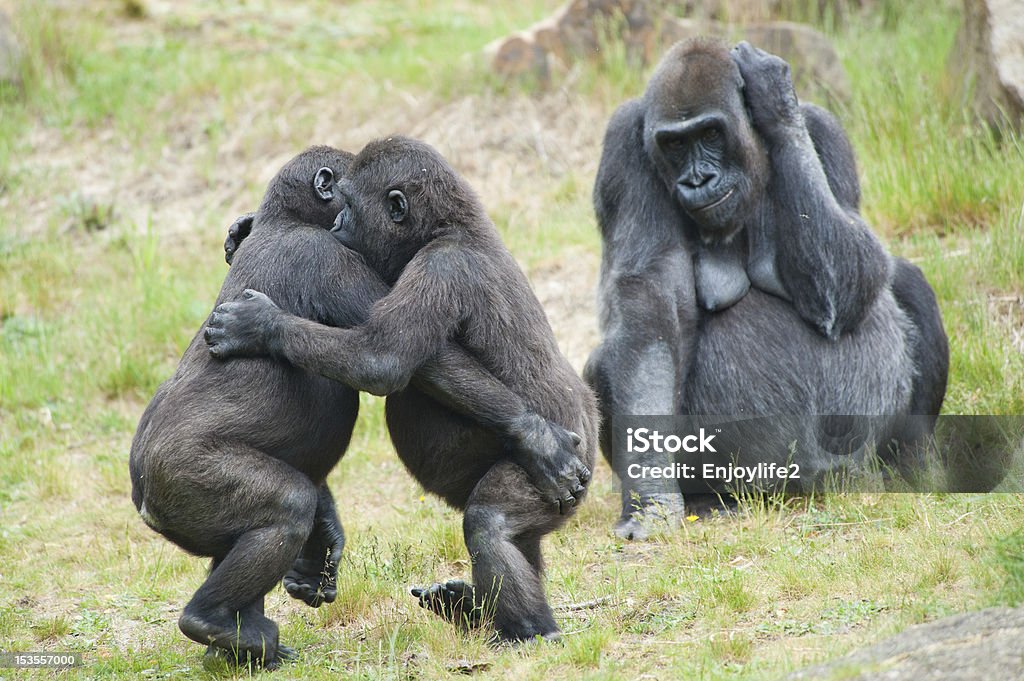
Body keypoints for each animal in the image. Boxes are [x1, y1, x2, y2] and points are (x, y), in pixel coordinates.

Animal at [132, 144, 589, 663]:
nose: (339, 223)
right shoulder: (335, 255)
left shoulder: (409, 264)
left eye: (349, 204)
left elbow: (382, 358)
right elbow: (388, 361)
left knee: (492, 524)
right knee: (288, 507)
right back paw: (221, 628)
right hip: (178, 482)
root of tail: (143, 498)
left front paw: (260, 323)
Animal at [581, 38, 946, 536]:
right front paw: (652, 498)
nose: (698, 179)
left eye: (711, 134)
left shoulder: (825, 129)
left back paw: (914, 464)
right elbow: (652, 316)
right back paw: (707, 499)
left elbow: (855, 275)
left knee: (906, 281)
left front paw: (776, 102)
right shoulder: (624, 146)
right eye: (675, 144)